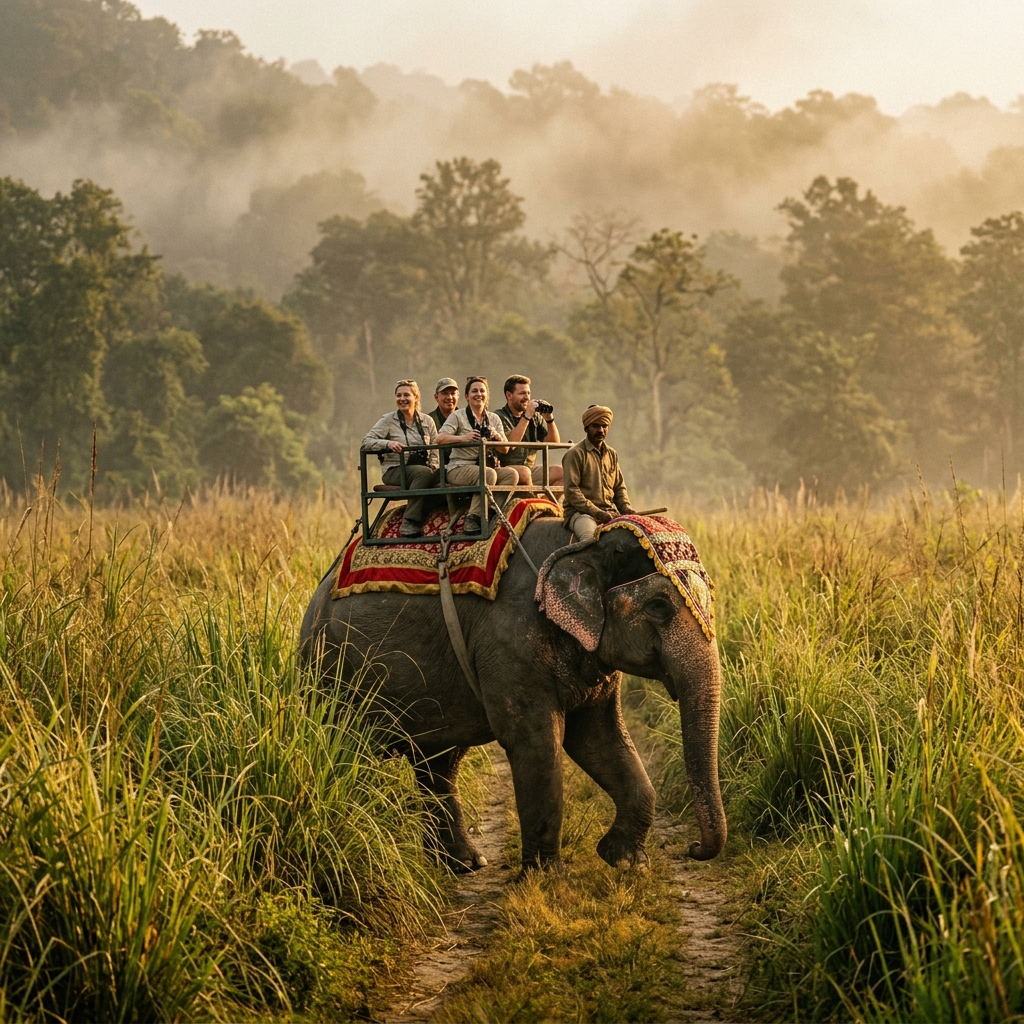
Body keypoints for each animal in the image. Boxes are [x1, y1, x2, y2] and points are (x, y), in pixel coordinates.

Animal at [299, 516, 726, 871]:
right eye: (658, 606)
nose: (693, 849)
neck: (585, 543)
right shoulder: (510, 639)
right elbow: (537, 744)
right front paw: (546, 877)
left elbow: (597, 739)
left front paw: (625, 863)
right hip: (328, 669)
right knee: (346, 749)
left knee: (438, 763)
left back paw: (465, 864)